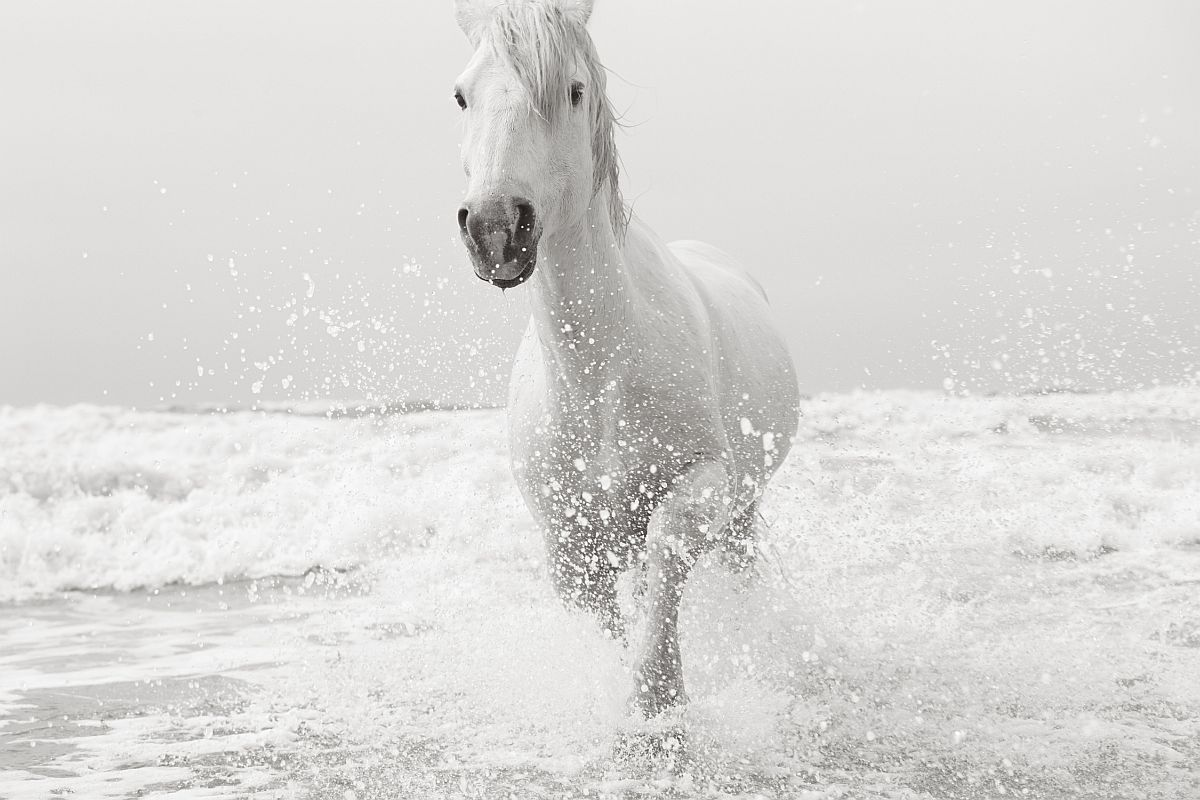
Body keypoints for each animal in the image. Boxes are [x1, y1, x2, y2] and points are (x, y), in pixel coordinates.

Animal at [451, 0, 796, 724]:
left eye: (574, 91)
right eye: (462, 94)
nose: (495, 226)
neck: (597, 375)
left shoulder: (703, 480)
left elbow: (669, 550)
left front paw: (657, 706)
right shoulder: (569, 544)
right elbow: (607, 621)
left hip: (744, 510)